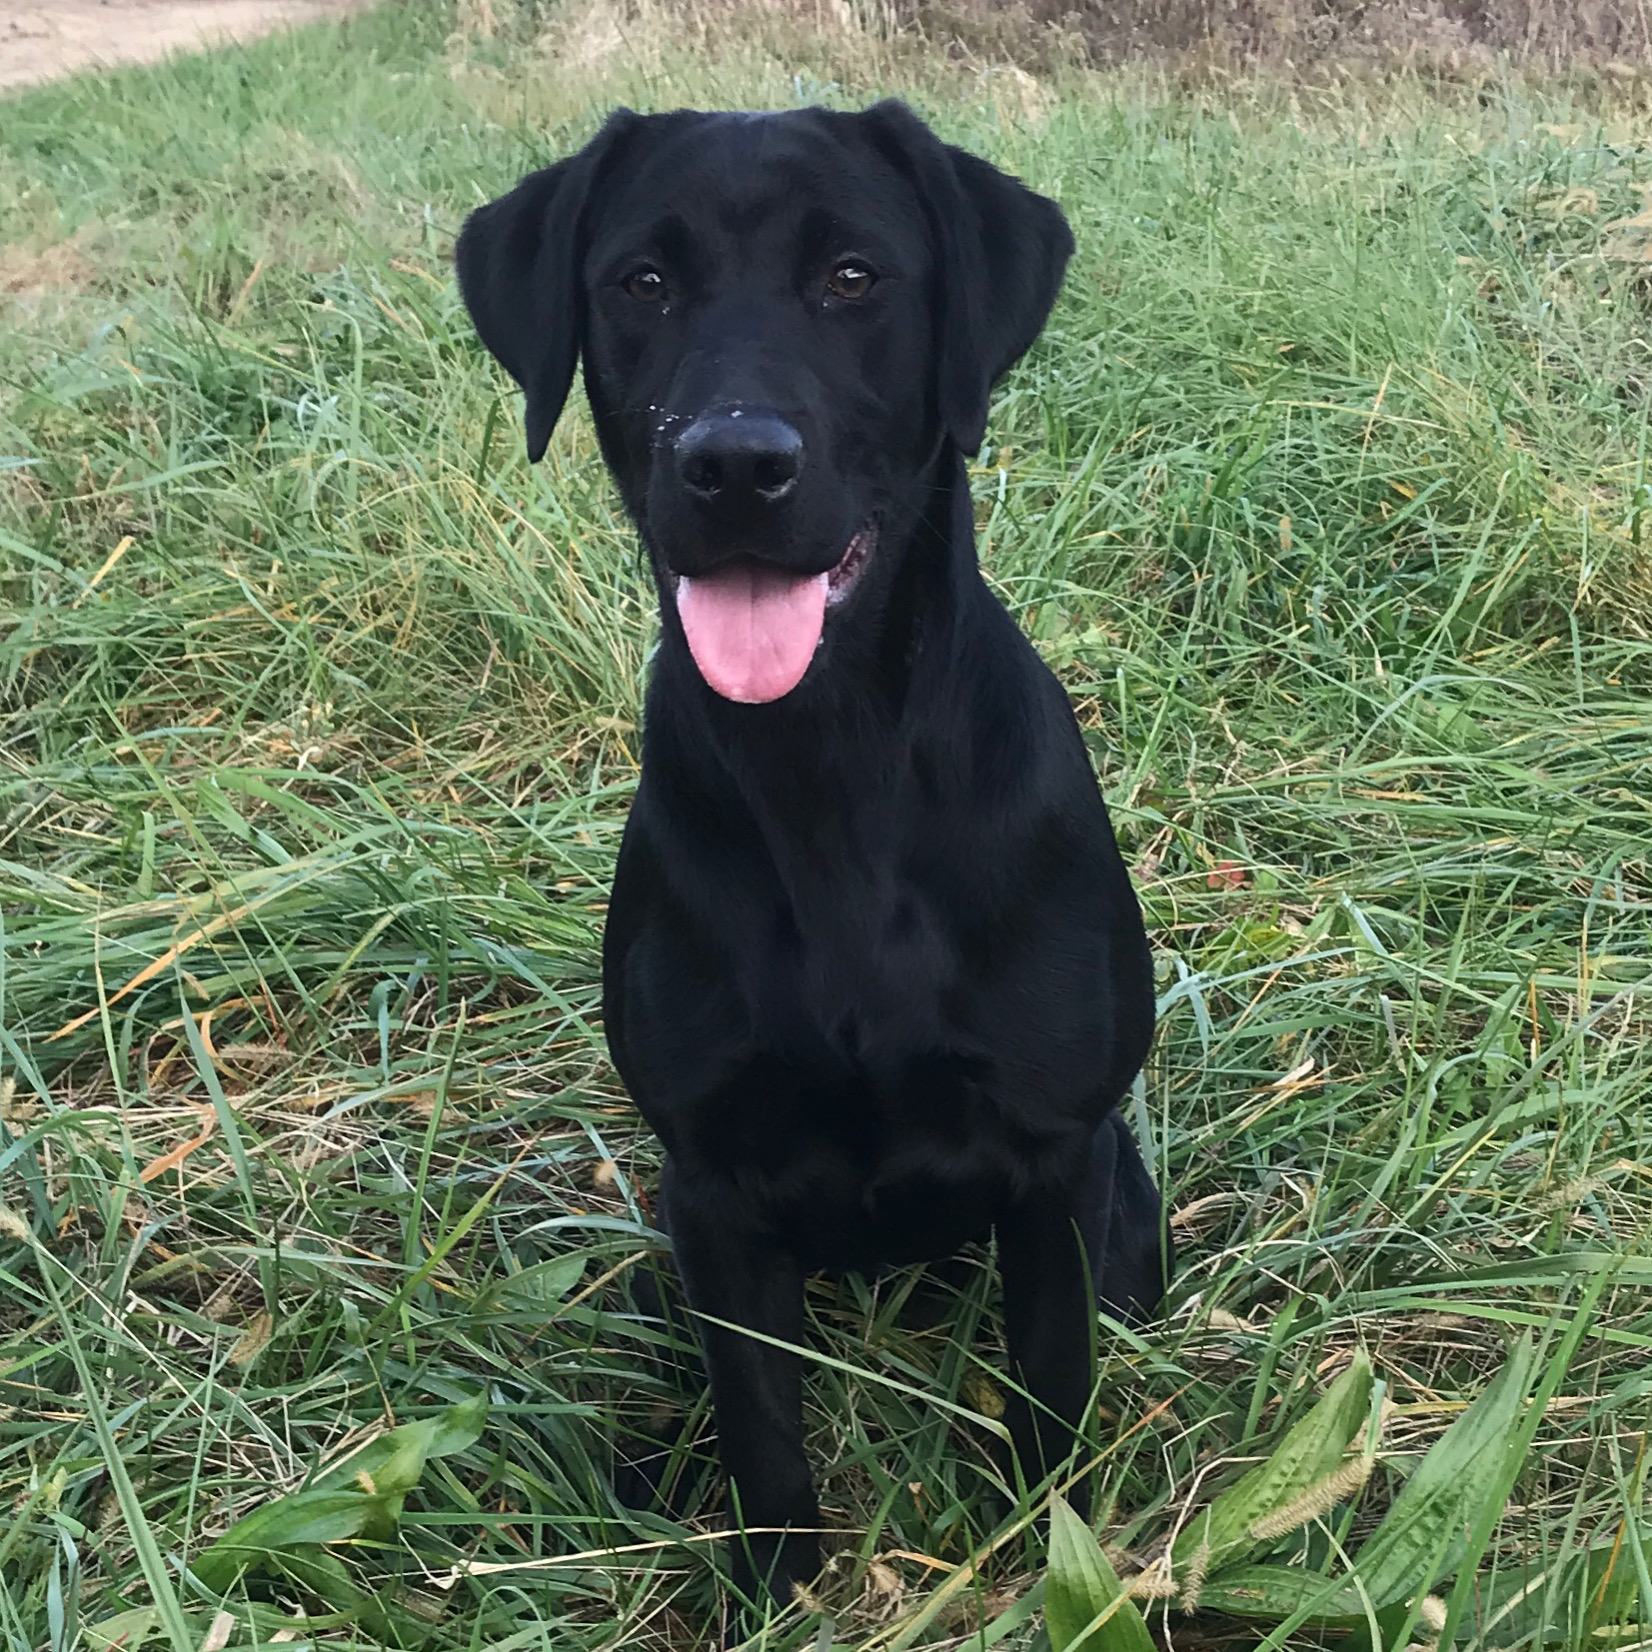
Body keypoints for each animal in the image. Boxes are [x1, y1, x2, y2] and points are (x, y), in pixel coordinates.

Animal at [459, 103, 1169, 1612]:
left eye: (853, 277)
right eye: (642, 283)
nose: (735, 463)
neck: (831, 765)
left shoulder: (1051, 1161)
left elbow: (1049, 1382)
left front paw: (1050, 1545)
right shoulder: (715, 1192)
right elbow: (760, 1420)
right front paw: (774, 1589)